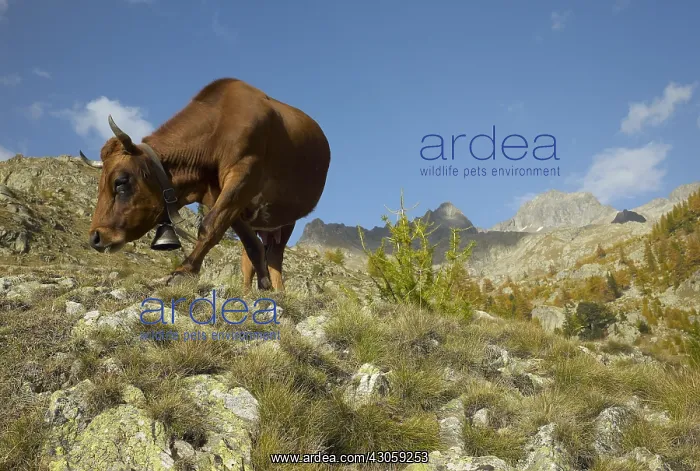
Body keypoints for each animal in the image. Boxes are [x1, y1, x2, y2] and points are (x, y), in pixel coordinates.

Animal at [80, 78, 331, 291]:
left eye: (121, 182)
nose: (95, 237)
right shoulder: (220, 195)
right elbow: (250, 245)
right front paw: (262, 287)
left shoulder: (244, 175)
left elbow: (209, 227)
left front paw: (183, 271)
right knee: (256, 253)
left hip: (286, 220)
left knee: (276, 256)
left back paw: (280, 292)